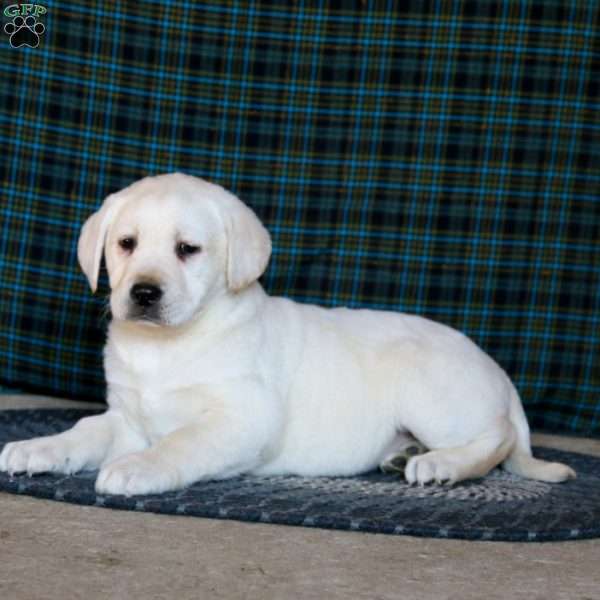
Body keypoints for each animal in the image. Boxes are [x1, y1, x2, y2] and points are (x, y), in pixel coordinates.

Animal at [0, 175, 576, 496]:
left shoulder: (245, 418)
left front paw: (138, 468)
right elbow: (84, 431)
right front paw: (38, 448)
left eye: (187, 249)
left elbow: (183, 442)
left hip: (431, 390)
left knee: (496, 438)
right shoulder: (128, 417)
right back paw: (403, 453)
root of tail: (498, 373)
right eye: (126, 243)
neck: (169, 348)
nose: (142, 293)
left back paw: (441, 464)